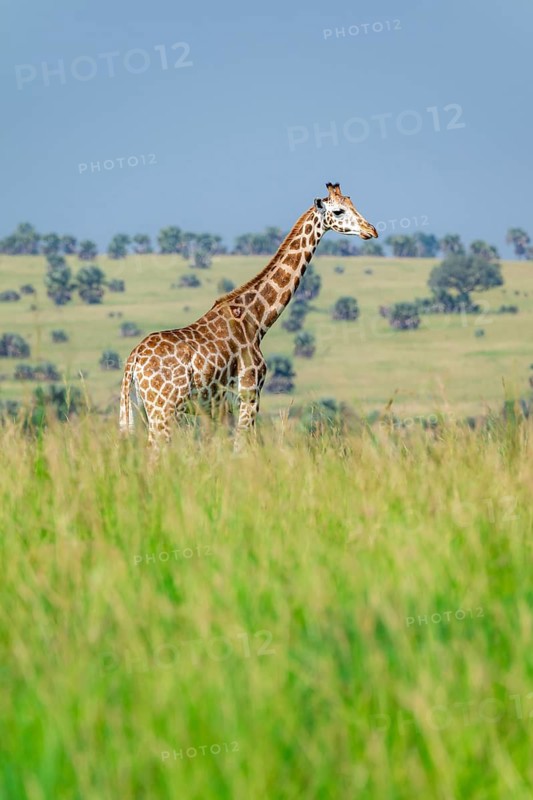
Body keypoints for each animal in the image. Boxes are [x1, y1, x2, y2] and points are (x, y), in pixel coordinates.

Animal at [119, 182, 378, 448]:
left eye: (353, 204)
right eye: (338, 211)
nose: (372, 230)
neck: (257, 320)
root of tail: (133, 362)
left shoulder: (219, 408)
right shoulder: (249, 394)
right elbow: (242, 446)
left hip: (139, 409)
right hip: (164, 406)